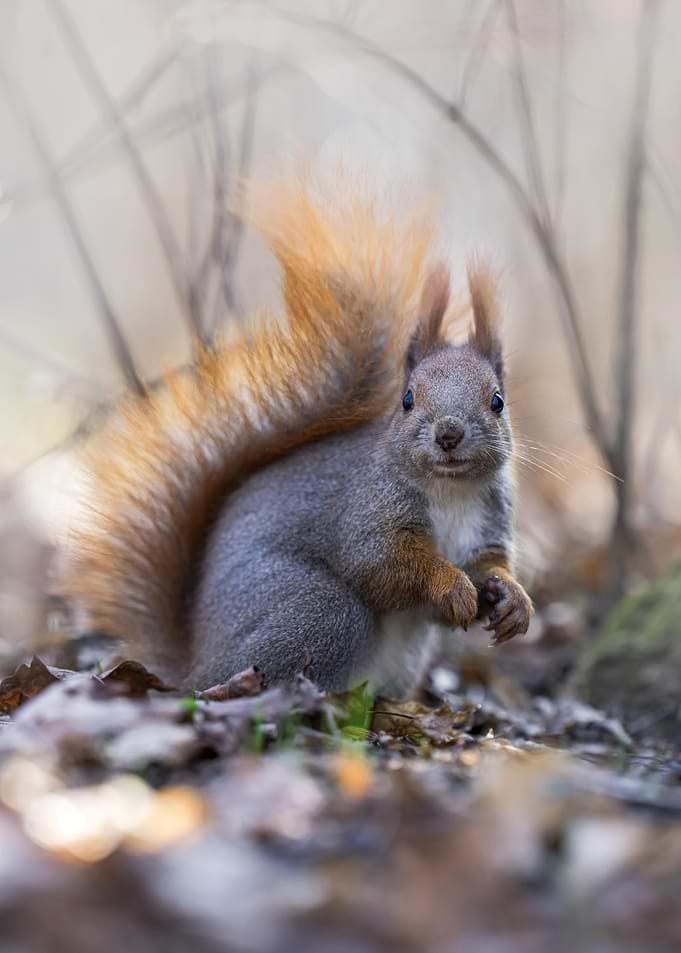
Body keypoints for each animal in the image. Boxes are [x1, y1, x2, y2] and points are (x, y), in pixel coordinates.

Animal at [64, 179, 533, 697]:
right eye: (408, 399)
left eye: (497, 401)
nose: (449, 433)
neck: (450, 490)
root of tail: (195, 664)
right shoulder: (366, 510)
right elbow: (381, 564)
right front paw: (450, 585)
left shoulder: (490, 520)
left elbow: (490, 564)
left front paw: (512, 597)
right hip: (318, 610)